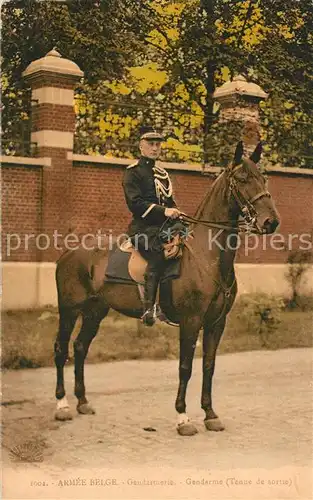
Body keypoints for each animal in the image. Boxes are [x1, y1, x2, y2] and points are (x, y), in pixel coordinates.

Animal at [53, 143, 278, 436]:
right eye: (242, 179)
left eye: (263, 179)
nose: (270, 222)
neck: (207, 256)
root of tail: (67, 254)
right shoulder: (191, 321)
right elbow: (185, 367)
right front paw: (183, 418)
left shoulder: (217, 323)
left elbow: (209, 365)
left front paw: (210, 414)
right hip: (69, 309)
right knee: (61, 349)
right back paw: (62, 405)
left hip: (95, 311)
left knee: (80, 347)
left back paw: (82, 401)